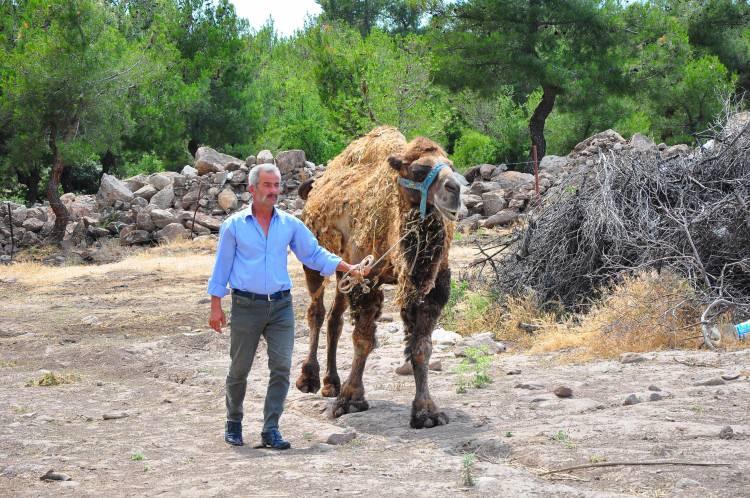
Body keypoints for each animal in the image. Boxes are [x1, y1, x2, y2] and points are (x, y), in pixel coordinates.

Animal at [296, 125, 462, 428]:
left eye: (452, 166)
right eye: (418, 170)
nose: (454, 189)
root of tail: (313, 190)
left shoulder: (431, 287)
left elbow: (421, 346)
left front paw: (426, 412)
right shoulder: (366, 278)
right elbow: (363, 339)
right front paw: (351, 399)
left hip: (343, 269)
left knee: (335, 318)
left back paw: (331, 383)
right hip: (313, 258)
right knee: (316, 311)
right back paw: (308, 378)